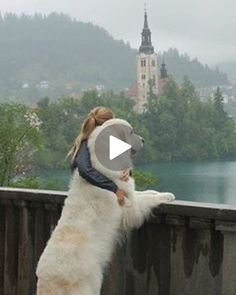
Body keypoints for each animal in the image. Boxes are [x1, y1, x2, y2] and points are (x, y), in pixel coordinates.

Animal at [35, 118, 175, 295]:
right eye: (131, 132)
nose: (143, 140)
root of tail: (46, 281)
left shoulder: (130, 193)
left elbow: (146, 192)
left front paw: (161, 192)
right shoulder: (131, 209)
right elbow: (147, 199)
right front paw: (167, 196)